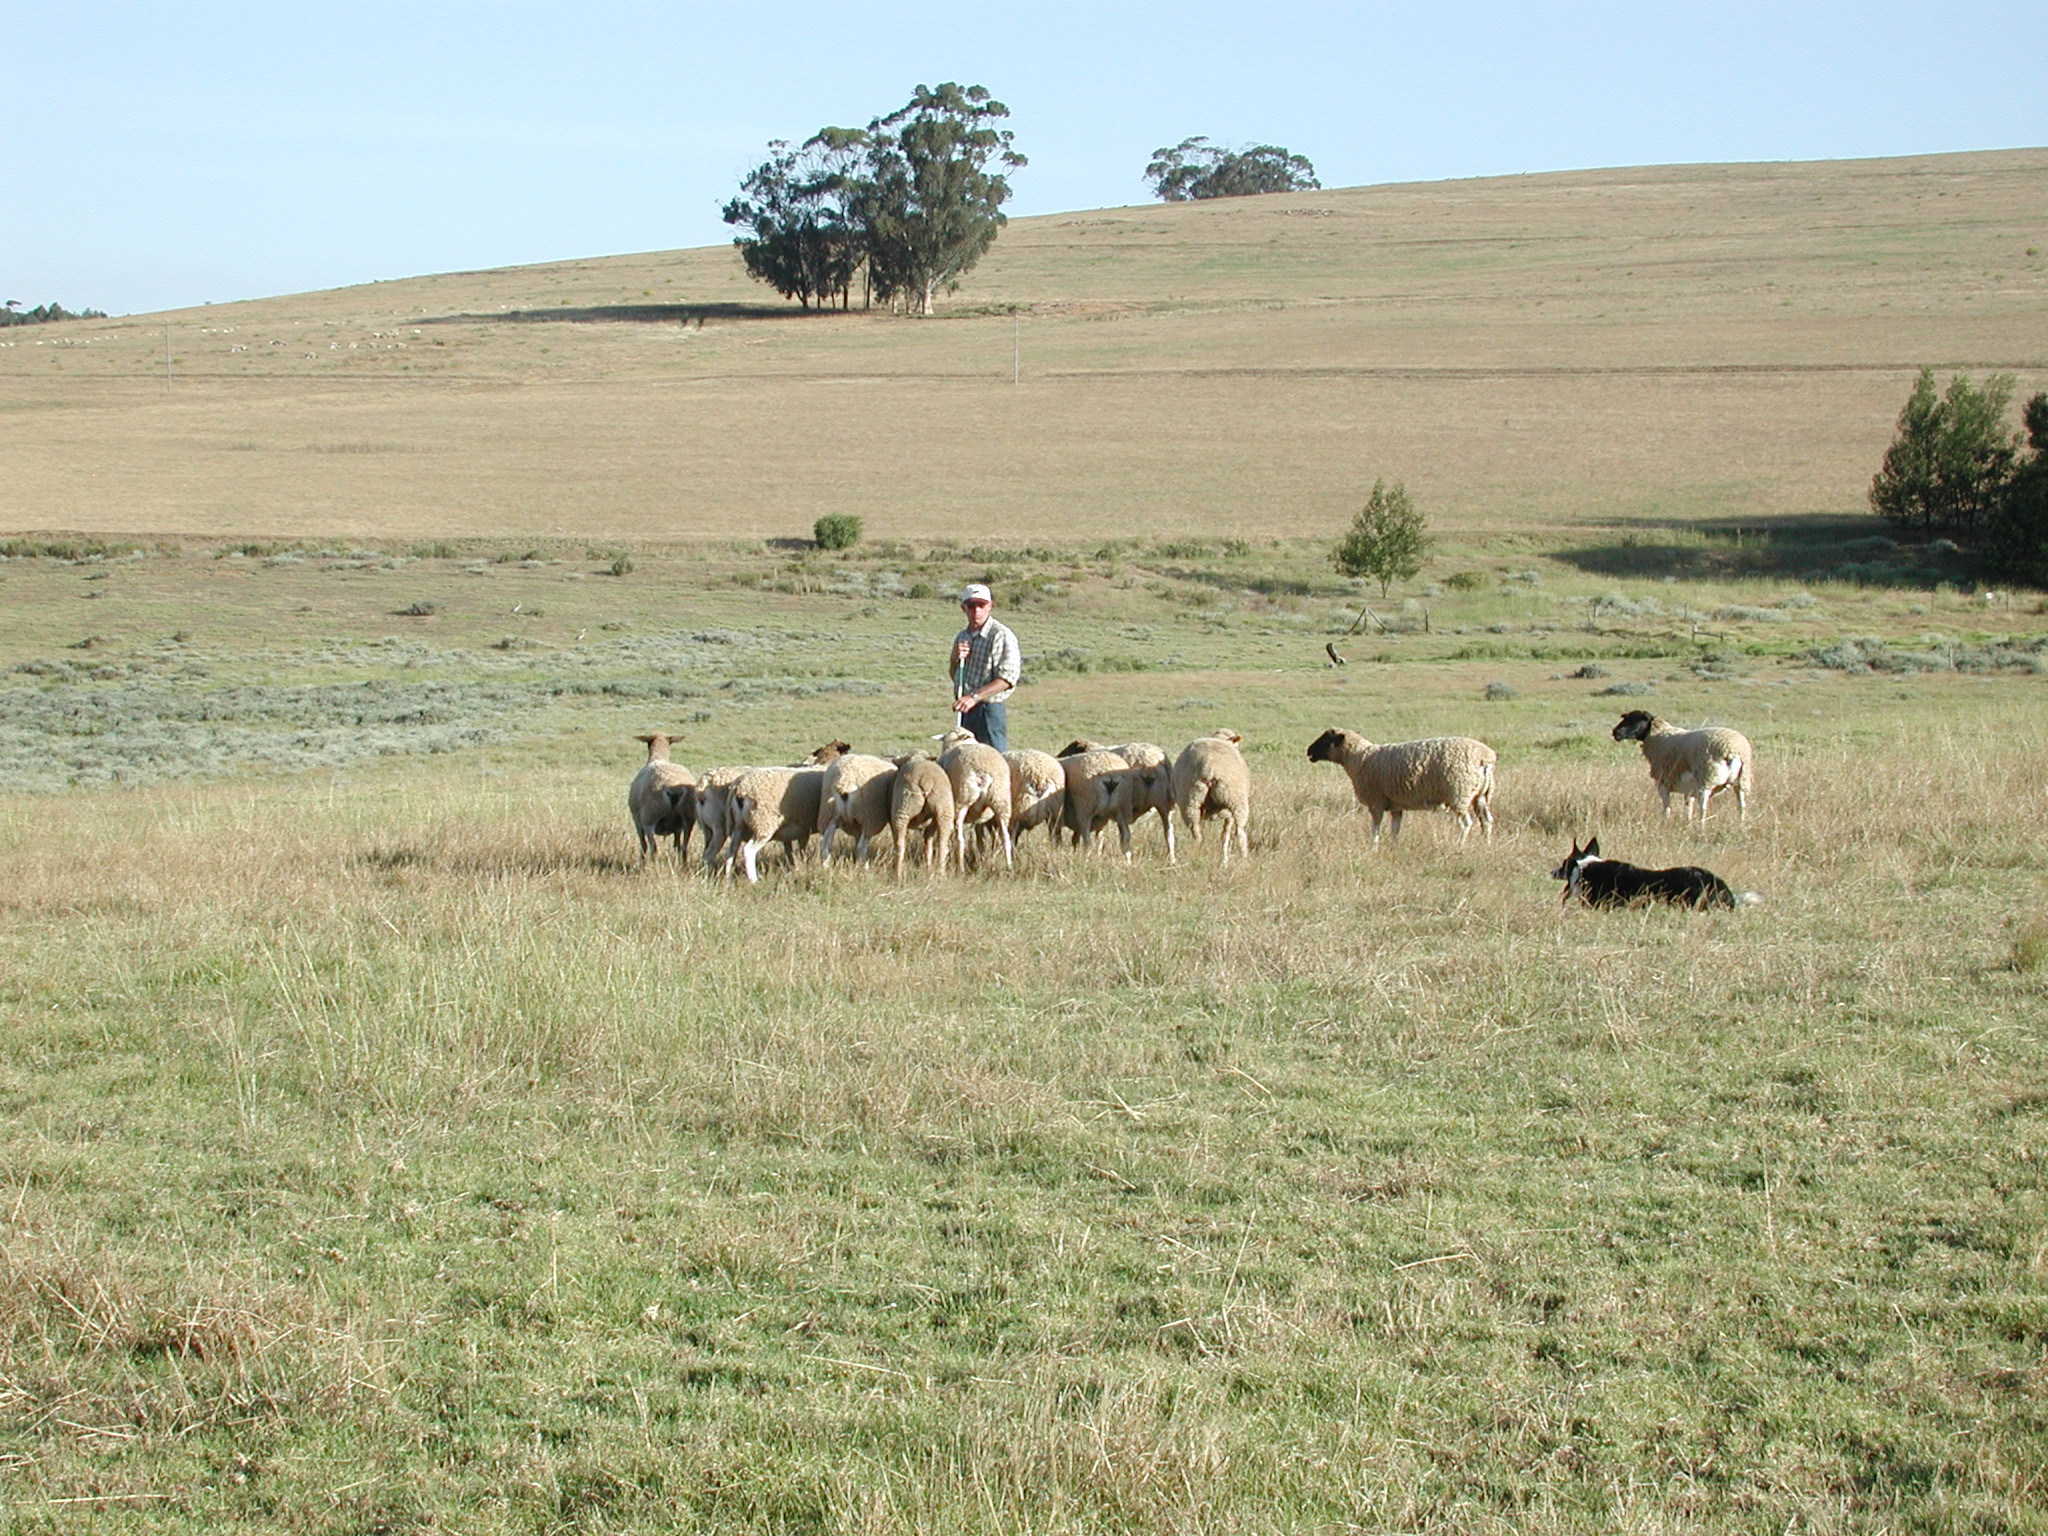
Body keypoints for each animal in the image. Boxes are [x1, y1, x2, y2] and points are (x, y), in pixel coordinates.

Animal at [627, 733, 696, 862]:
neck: (658, 757)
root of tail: (674, 790)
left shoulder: (637, 821)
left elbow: (643, 845)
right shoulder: (678, 827)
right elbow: (677, 845)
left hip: (650, 817)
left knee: (653, 847)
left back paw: (650, 864)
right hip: (688, 818)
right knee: (684, 847)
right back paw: (683, 863)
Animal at [935, 728, 1014, 870]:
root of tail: (982, 773)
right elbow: (979, 837)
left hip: (963, 798)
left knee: (960, 838)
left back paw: (960, 867)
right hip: (1001, 799)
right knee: (1005, 837)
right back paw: (1009, 866)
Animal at [1171, 729, 1252, 864]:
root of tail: (1208, 767)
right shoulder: (1228, 814)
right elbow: (1226, 835)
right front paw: (1225, 858)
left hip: (1190, 801)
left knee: (1197, 834)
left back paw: (1197, 857)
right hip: (1236, 800)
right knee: (1240, 832)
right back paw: (1243, 860)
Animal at [1307, 729, 1496, 842]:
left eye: (1326, 739)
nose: (1308, 751)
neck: (1358, 757)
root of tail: (1484, 757)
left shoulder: (1376, 802)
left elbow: (1375, 829)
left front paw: (1374, 848)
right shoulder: (1395, 805)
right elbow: (1395, 830)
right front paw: (1393, 847)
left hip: (1459, 794)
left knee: (1466, 823)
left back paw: (1459, 846)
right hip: (1481, 796)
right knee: (1487, 821)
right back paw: (1485, 845)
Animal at [1611, 710, 1754, 823]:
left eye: (1636, 720)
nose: (1615, 732)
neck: (1657, 734)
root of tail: (1732, 751)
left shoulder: (1663, 781)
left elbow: (1667, 806)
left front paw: (1666, 822)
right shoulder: (1689, 788)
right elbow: (1688, 806)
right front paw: (1688, 823)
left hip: (1706, 779)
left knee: (1703, 807)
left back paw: (1701, 827)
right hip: (1741, 781)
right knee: (1742, 806)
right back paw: (1741, 825)